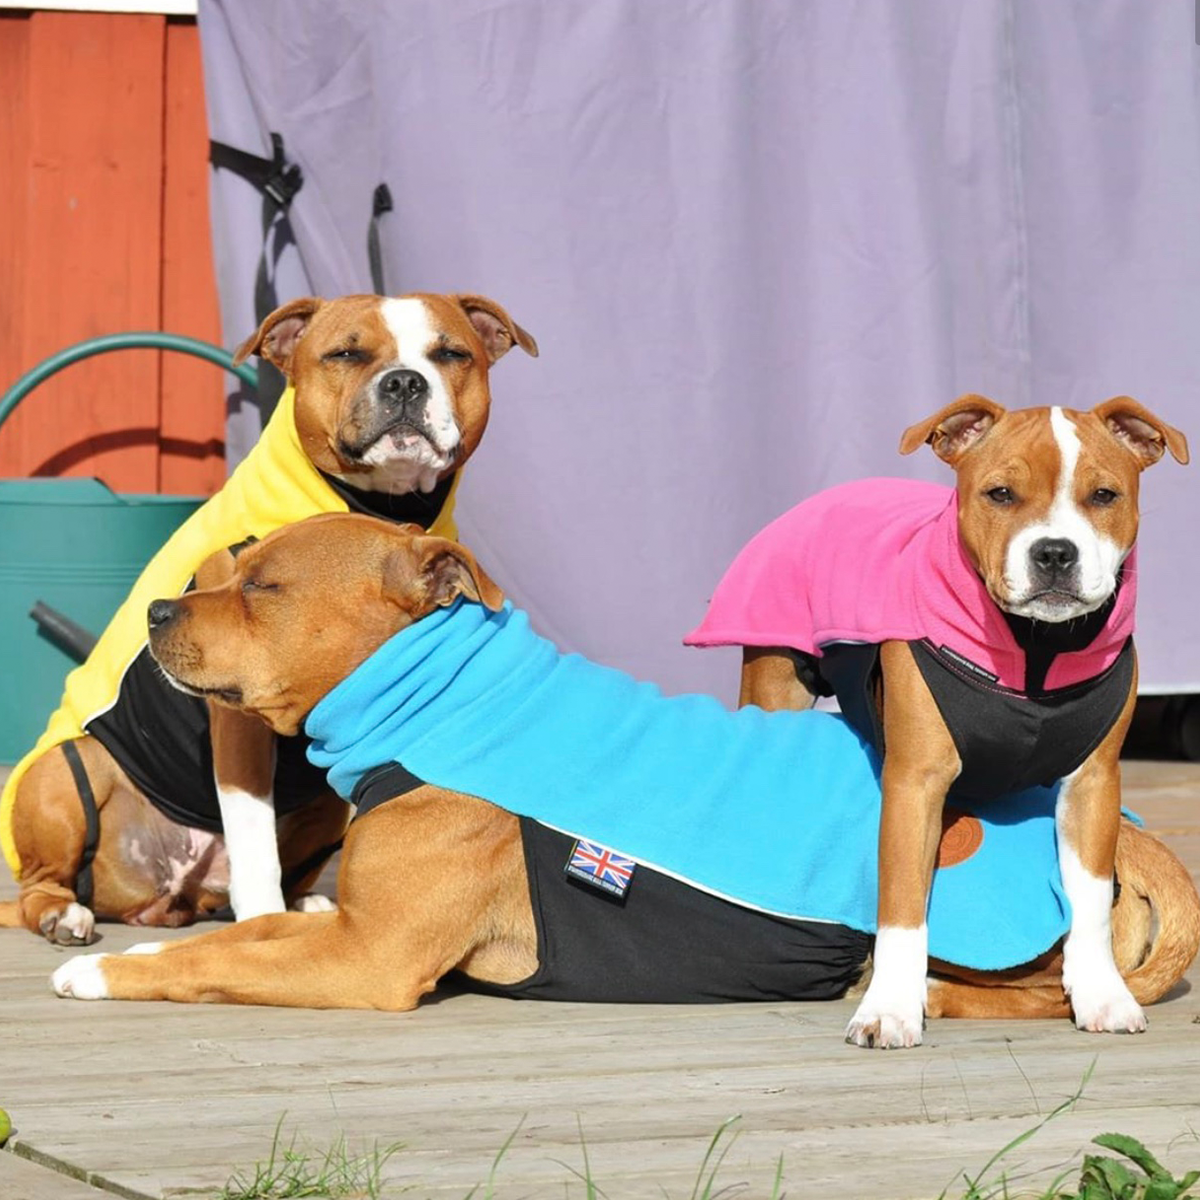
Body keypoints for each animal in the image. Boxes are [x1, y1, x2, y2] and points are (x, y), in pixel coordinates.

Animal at [0, 292, 535, 945]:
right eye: (346, 354)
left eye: (451, 354)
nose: (405, 381)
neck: (379, 504)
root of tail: (164, 893)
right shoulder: (237, 719)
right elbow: (252, 832)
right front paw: (260, 916)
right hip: (64, 771)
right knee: (43, 882)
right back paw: (62, 912)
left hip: (324, 805)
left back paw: (302, 902)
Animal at [51, 511, 1200, 1027]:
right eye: (235, 567)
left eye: (267, 586)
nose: (157, 611)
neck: (441, 694)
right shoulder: (345, 925)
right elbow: (243, 933)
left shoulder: (366, 959)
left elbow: (212, 961)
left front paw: (103, 972)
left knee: (1025, 990)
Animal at [720, 398, 1190, 1046]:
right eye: (1000, 494)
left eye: (1103, 495)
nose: (1054, 552)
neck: (1034, 651)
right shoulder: (915, 782)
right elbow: (902, 902)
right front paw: (888, 1008)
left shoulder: (1094, 784)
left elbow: (1090, 899)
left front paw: (1102, 995)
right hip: (774, 680)